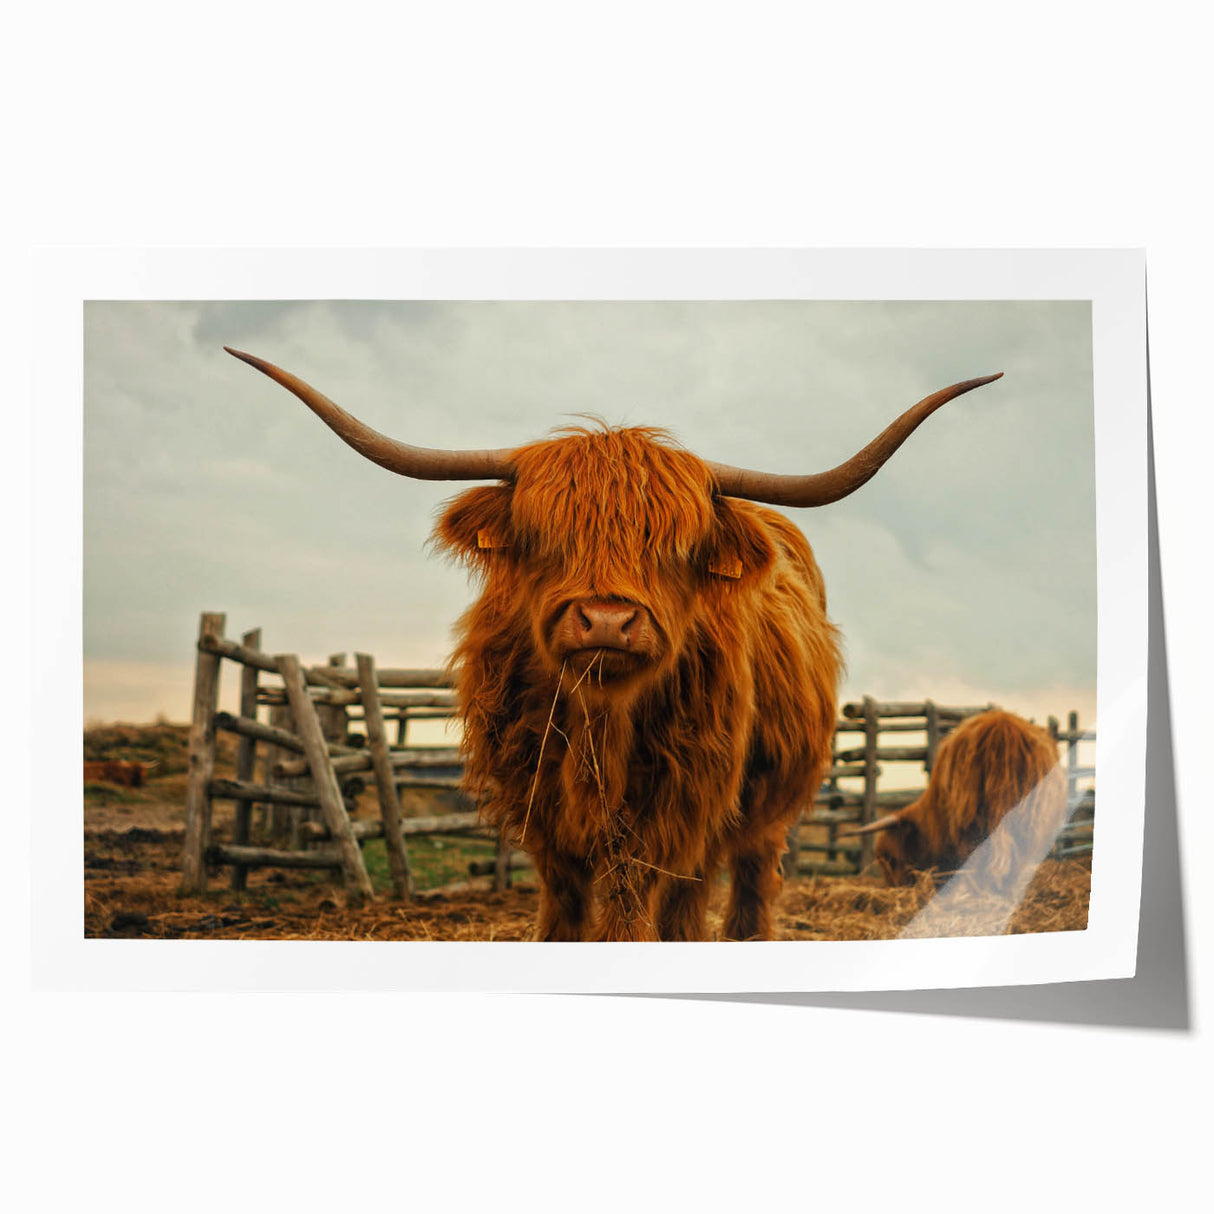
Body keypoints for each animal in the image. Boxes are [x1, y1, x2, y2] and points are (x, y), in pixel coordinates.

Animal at [226, 346, 1001, 940]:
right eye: (545, 536)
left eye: (676, 546)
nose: (605, 621)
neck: (601, 725)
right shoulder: (543, 818)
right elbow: (566, 910)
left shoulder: (676, 814)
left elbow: (641, 909)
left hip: (760, 812)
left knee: (739, 886)